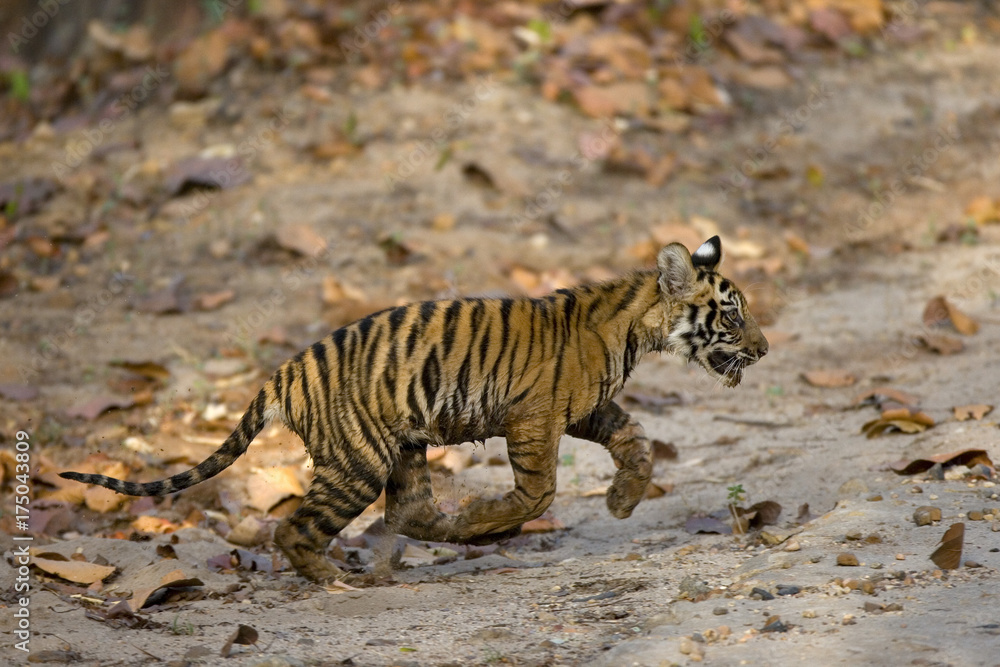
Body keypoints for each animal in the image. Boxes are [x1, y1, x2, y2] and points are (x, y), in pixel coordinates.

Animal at [61, 236, 768, 583]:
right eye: (733, 316)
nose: (764, 350)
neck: (635, 327)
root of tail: (282, 373)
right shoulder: (536, 419)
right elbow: (538, 490)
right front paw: (498, 513)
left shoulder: (584, 410)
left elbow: (637, 438)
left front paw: (623, 500)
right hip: (358, 461)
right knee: (297, 528)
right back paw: (340, 579)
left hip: (401, 448)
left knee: (411, 512)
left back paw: (454, 539)